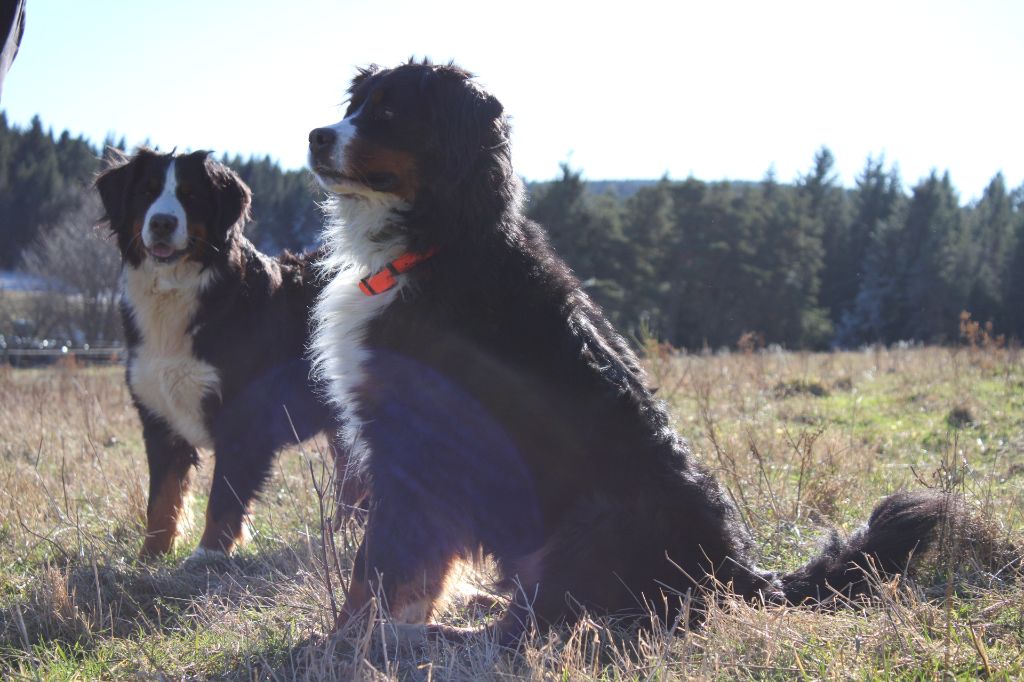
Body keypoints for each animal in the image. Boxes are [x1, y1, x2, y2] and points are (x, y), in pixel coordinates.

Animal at [96, 148, 360, 557]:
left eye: (190, 195)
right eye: (146, 192)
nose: (162, 222)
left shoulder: (242, 417)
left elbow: (223, 498)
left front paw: (207, 556)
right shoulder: (160, 420)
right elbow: (161, 499)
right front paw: (150, 557)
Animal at [307, 61, 987, 638]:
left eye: (389, 113)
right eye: (355, 104)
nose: (315, 135)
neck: (440, 240)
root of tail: (737, 569)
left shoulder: (416, 445)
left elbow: (379, 566)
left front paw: (349, 642)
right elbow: (395, 567)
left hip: (588, 520)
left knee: (552, 620)